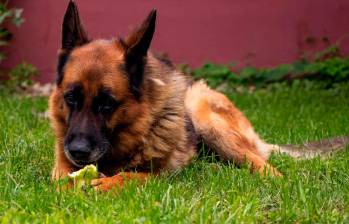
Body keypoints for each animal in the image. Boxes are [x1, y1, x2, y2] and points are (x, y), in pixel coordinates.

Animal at [49, 1, 348, 191]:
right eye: (71, 98)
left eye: (107, 104)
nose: (78, 151)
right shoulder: (61, 165)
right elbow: (62, 180)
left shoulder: (163, 175)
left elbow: (135, 176)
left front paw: (107, 183)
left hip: (205, 116)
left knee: (264, 166)